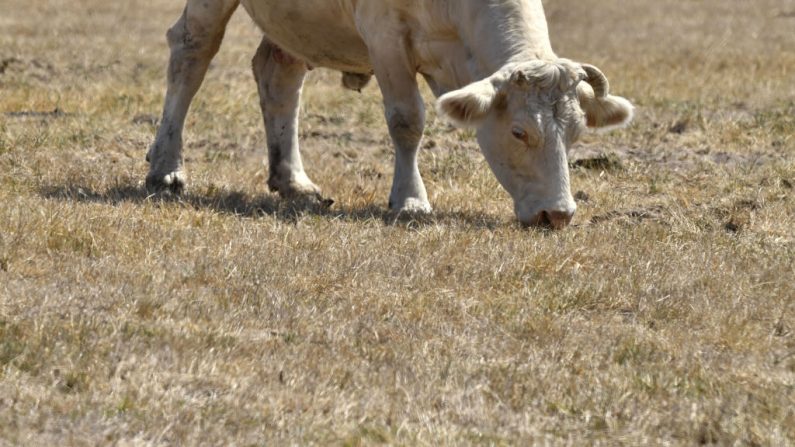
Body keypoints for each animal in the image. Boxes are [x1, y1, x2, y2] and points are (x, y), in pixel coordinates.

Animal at [148, 0, 636, 229]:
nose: (558, 214)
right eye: (519, 132)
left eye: (574, 134)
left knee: (278, 75)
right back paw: (166, 169)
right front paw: (410, 199)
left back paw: (293, 181)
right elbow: (407, 119)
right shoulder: (384, 36)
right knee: (192, 50)